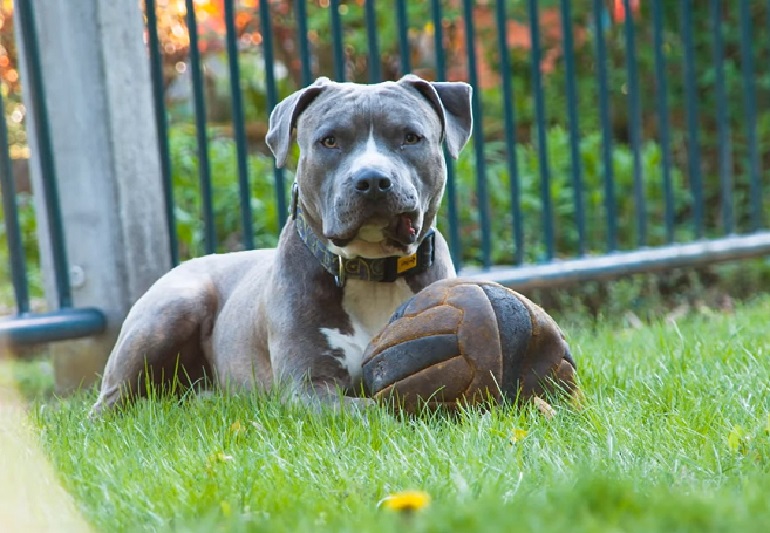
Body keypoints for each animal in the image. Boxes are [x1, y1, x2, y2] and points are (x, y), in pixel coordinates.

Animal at [93, 74, 472, 416]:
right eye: (329, 141)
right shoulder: (308, 387)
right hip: (174, 307)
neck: (372, 269)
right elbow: (377, 408)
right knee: (109, 404)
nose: (373, 180)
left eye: (411, 137)